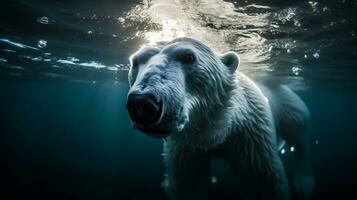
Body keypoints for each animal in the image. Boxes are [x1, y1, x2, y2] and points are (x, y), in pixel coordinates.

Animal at [125, 38, 312, 200]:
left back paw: (304, 183)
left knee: (298, 130)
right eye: (135, 62)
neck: (216, 132)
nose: (143, 102)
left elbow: (264, 179)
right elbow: (189, 183)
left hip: (284, 101)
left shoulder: (250, 136)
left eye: (188, 57)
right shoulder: (186, 147)